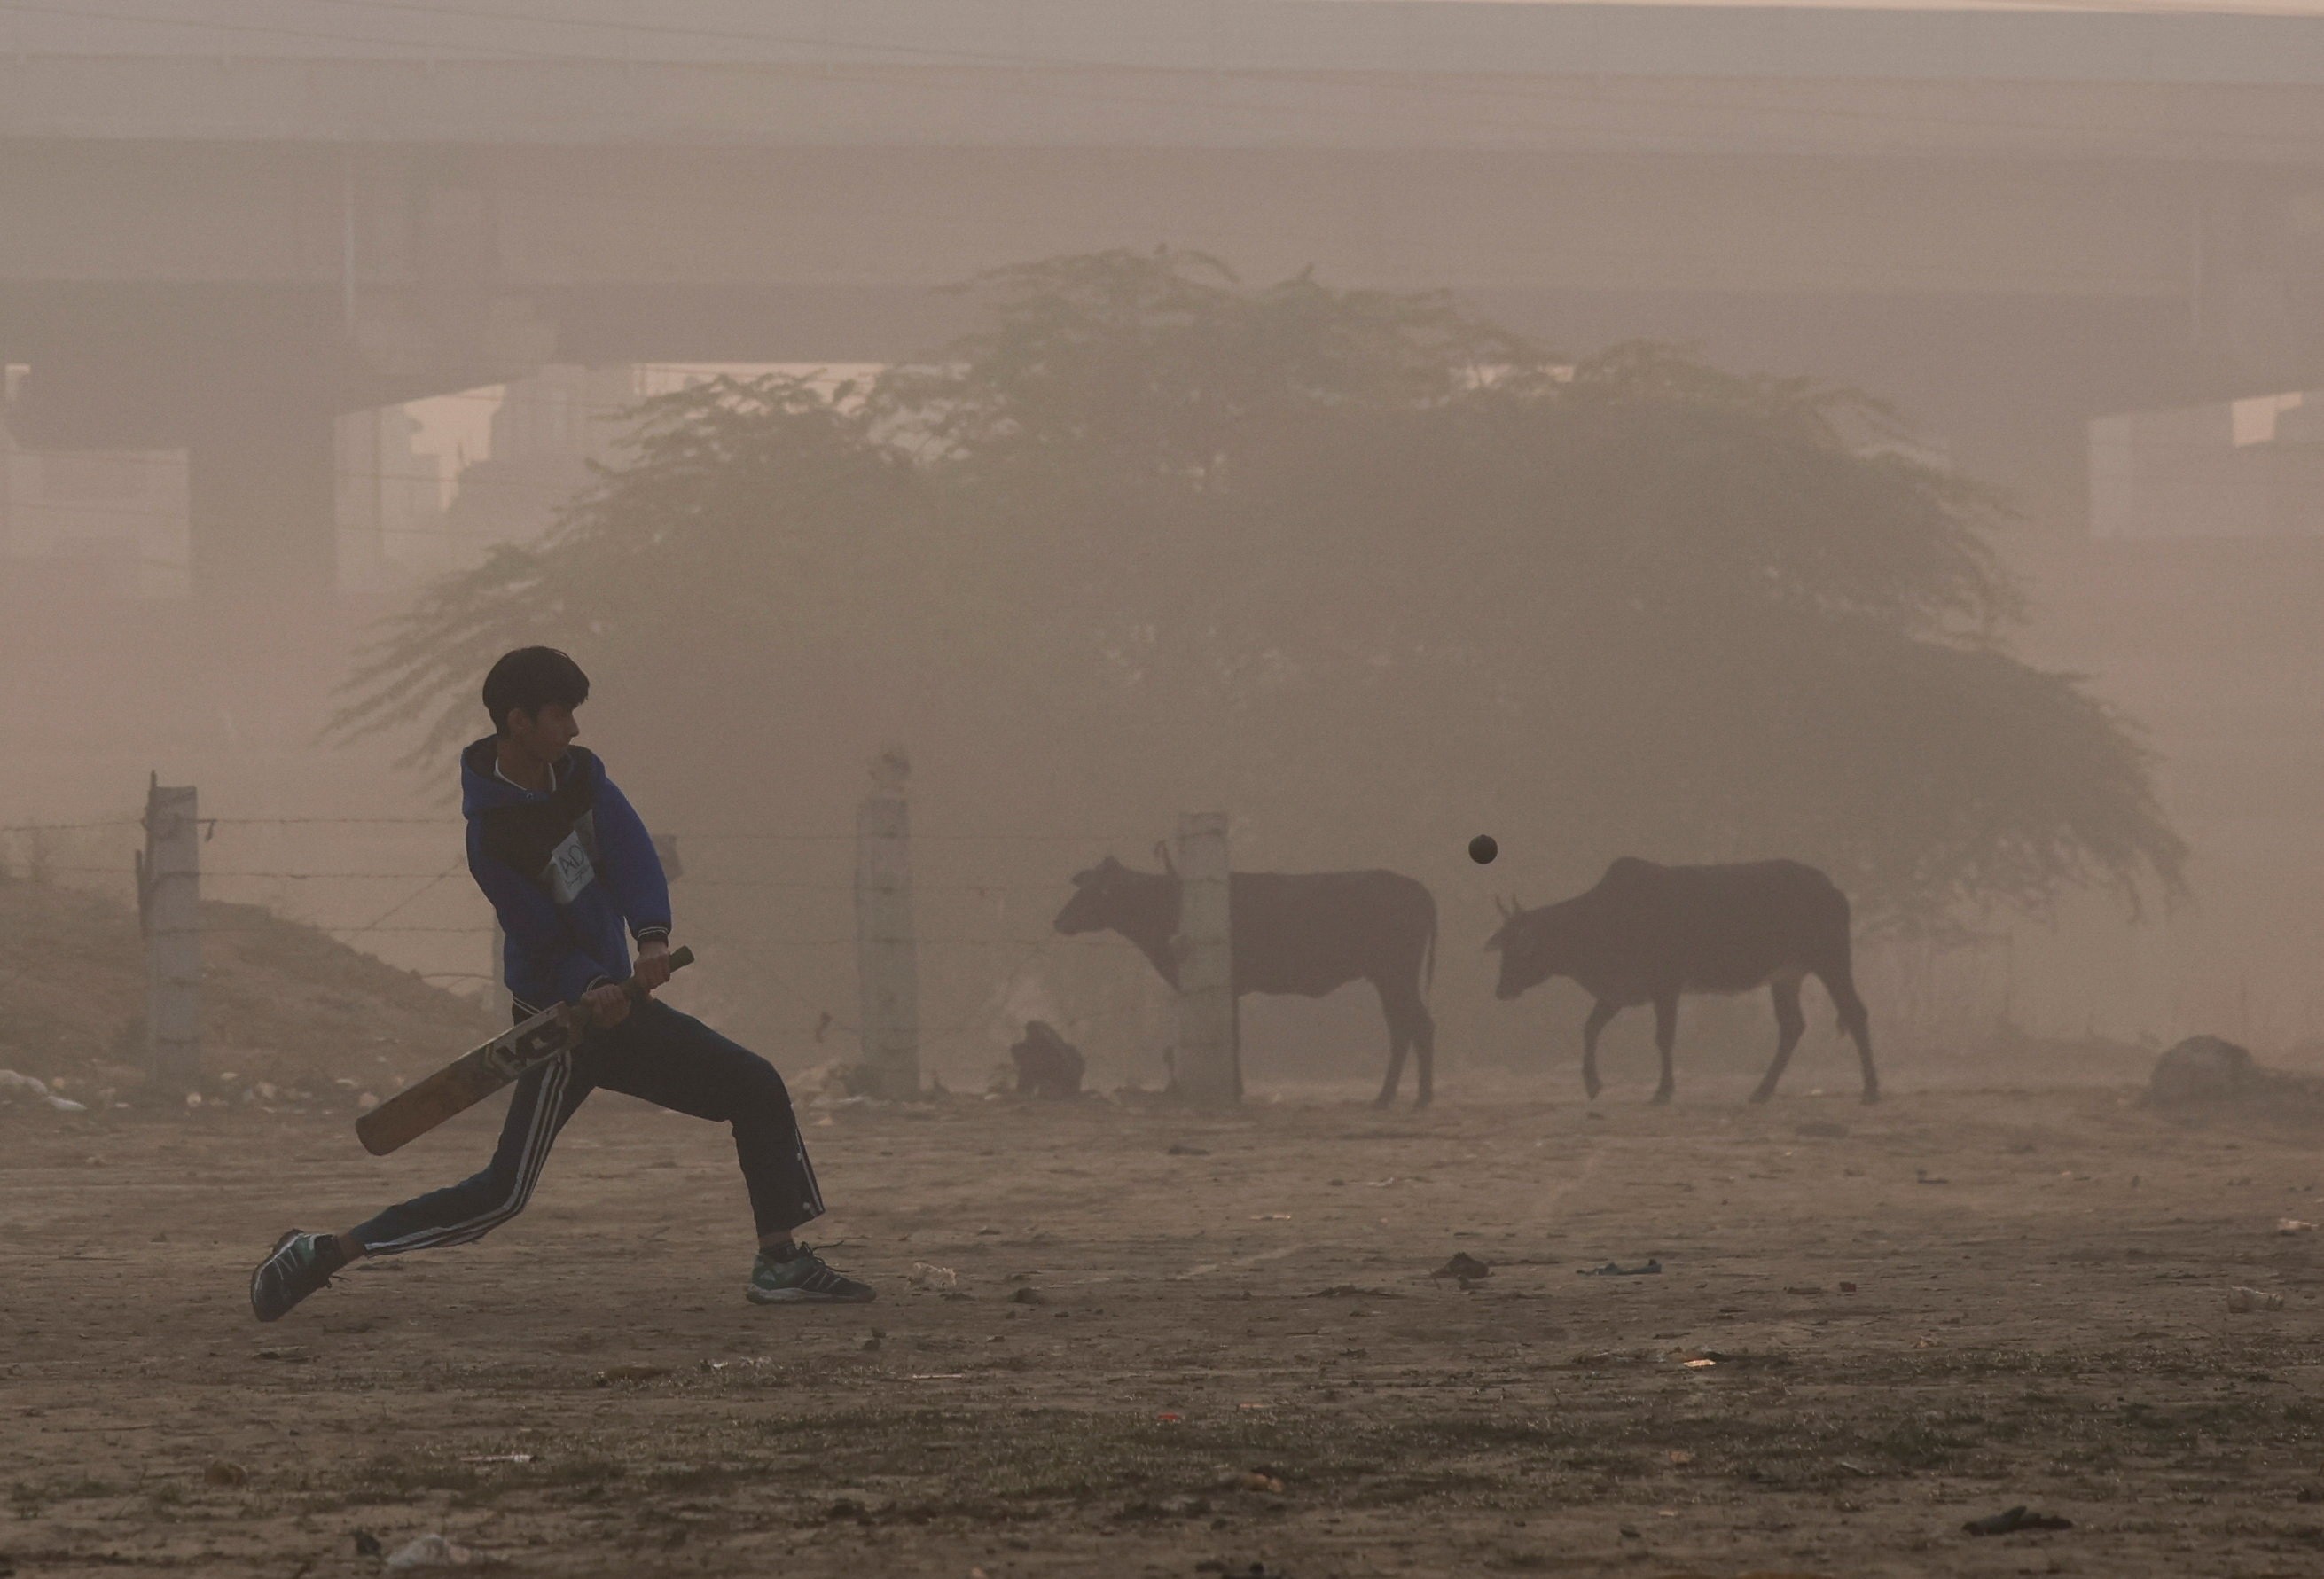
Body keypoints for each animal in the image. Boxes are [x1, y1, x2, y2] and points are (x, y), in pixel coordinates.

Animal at [1054, 853, 1440, 1106]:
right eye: (1084, 886)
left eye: (1097, 890)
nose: (1060, 920)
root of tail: (1416, 887)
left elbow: (1233, 1036)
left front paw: (1235, 1090)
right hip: (1389, 979)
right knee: (1404, 1027)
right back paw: (1396, 1095)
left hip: (1395, 976)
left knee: (1417, 1025)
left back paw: (1409, 1097)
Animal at [1485, 857, 1876, 1105]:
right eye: (1504, 946)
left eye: (1522, 950)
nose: (1502, 990)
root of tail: (1833, 890)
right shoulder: (1618, 992)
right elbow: (1590, 1027)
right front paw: (1593, 1084)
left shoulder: (1666, 985)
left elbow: (1663, 1038)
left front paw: (1662, 1091)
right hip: (1786, 976)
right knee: (1792, 1026)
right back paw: (1761, 1091)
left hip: (1831, 961)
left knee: (1855, 1013)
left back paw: (1870, 1090)